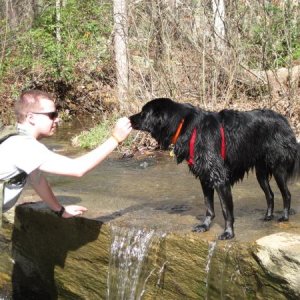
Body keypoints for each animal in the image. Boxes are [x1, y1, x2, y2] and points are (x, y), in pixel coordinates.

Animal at [129, 98, 300, 239]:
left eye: (143, 113)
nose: (129, 118)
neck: (185, 125)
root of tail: (284, 121)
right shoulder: (205, 178)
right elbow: (209, 208)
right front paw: (205, 226)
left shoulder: (220, 179)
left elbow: (226, 210)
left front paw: (228, 233)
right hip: (261, 172)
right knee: (270, 194)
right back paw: (268, 216)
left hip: (278, 168)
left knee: (286, 194)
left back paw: (284, 217)